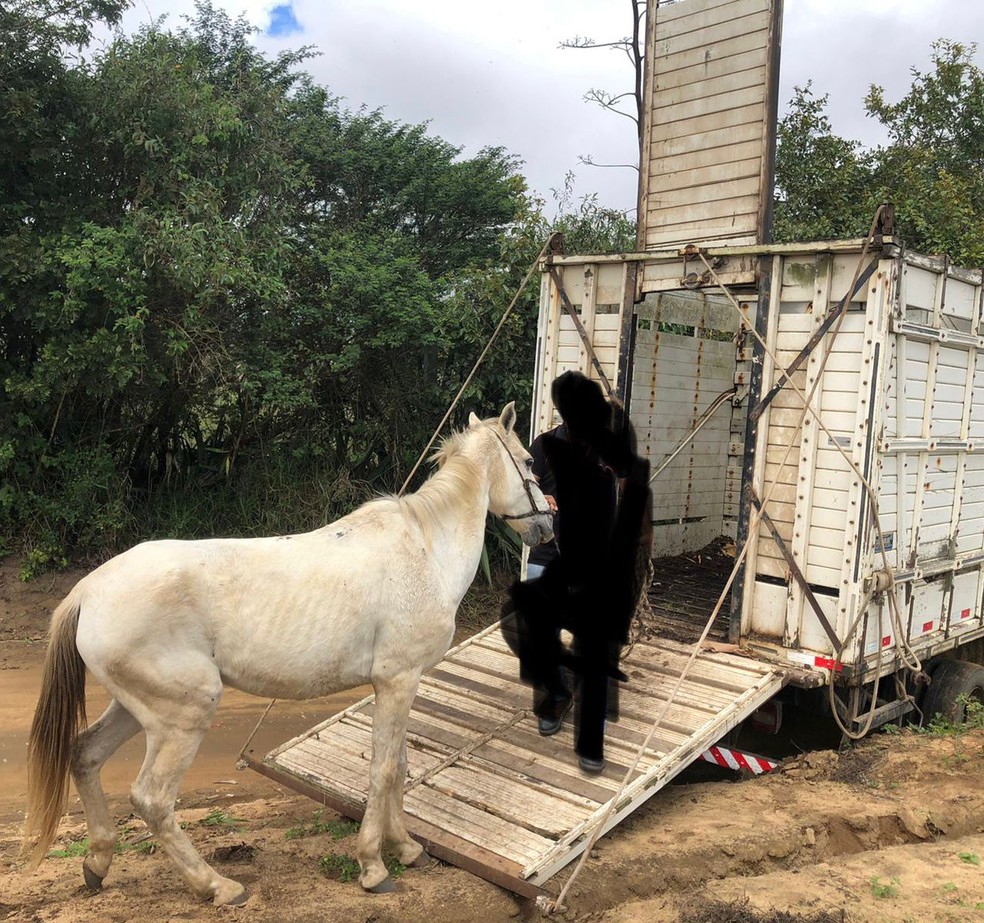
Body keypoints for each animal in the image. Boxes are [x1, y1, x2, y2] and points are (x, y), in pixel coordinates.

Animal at [23, 402, 552, 904]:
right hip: (183, 716)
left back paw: (98, 863)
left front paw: (406, 848)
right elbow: (382, 771)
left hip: (134, 710)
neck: (425, 551)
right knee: (152, 799)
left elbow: (399, 767)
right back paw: (218, 887)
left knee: (84, 755)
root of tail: (88, 591)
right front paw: (374, 868)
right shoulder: (397, 680)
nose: (547, 525)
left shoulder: (400, 684)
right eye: (529, 461)